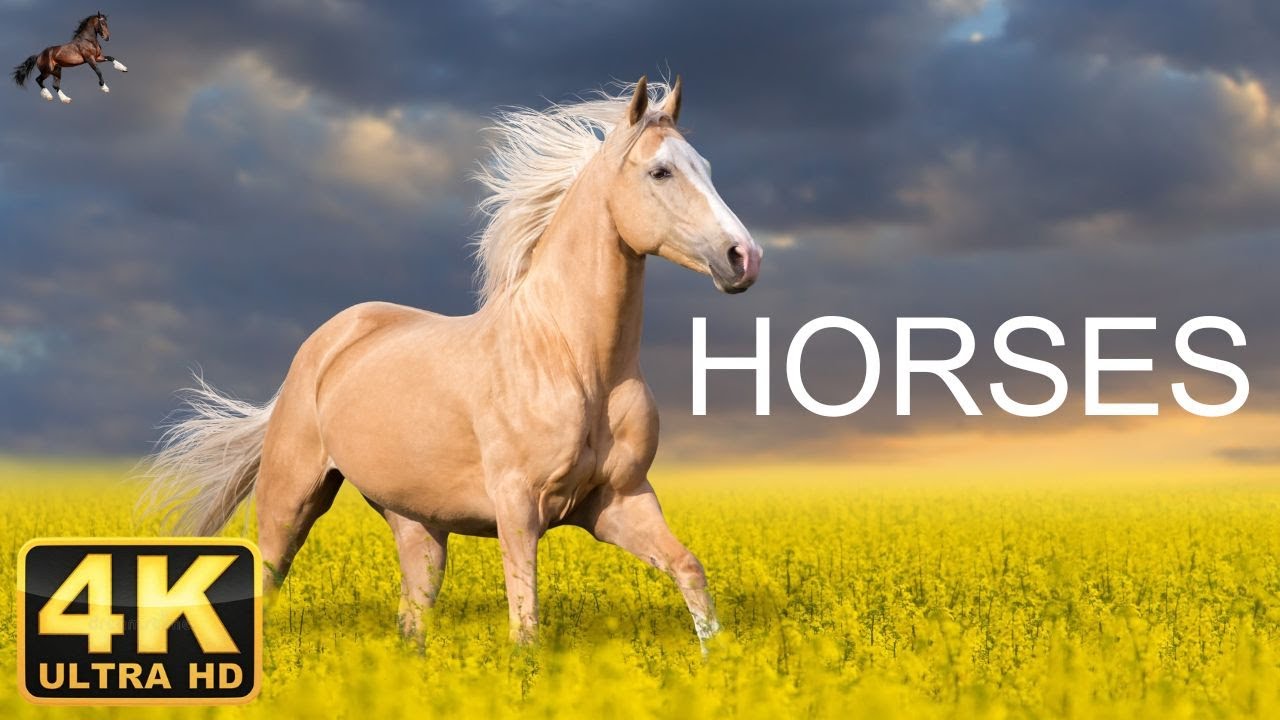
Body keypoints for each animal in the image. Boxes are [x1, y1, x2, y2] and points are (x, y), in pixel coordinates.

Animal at [143, 77, 763, 647]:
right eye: (660, 172)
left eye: (705, 167)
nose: (744, 257)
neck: (575, 361)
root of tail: (326, 343)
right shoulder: (518, 507)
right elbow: (525, 625)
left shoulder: (619, 502)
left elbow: (689, 570)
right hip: (290, 499)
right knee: (269, 579)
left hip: (417, 524)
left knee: (412, 616)